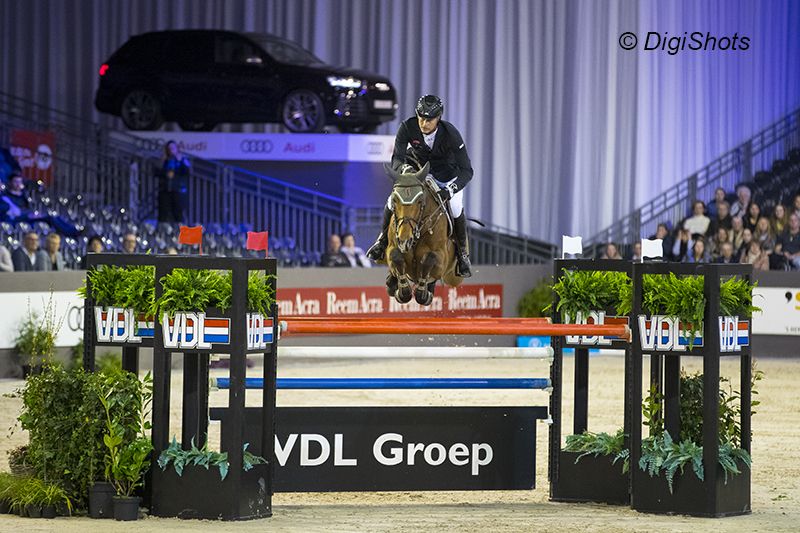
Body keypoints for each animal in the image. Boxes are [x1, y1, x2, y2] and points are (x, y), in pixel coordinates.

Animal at [381, 162, 463, 306]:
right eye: (395, 200)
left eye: (420, 201)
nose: (404, 241)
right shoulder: (391, 248)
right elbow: (395, 256)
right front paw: (402, 291)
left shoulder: (441, 258)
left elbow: (428, 259)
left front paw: (422, 293)